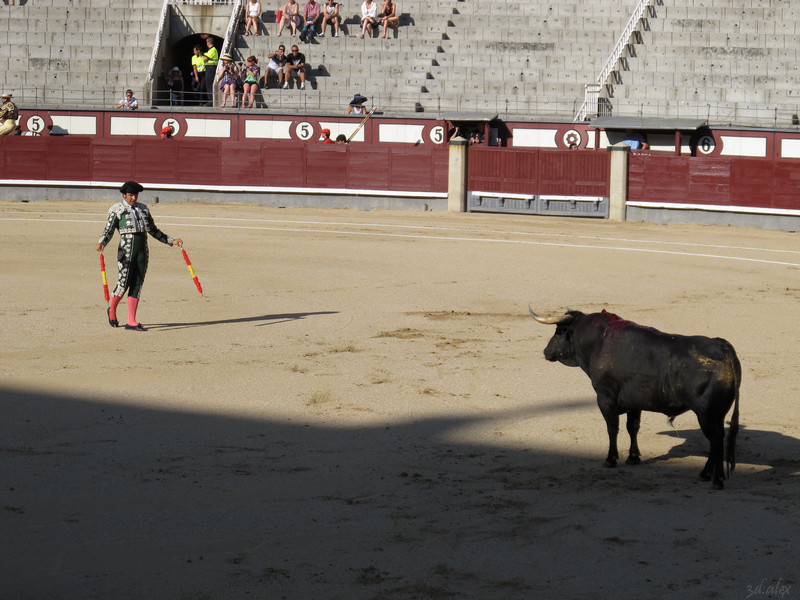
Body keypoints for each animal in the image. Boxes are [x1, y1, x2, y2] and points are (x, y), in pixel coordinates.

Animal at [528, 310, 740, 488]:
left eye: (558, 332)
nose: (546, 351)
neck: (599, 342)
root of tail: (723, 347)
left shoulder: (605, 399)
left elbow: (612, 428)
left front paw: (611, 459)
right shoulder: (634, 402)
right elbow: (633, 427)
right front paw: (633, 458)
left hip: (706, 414)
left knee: (716, 440)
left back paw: (717, 480)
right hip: (717, 415)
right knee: (717, 440)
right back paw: (705, 474)